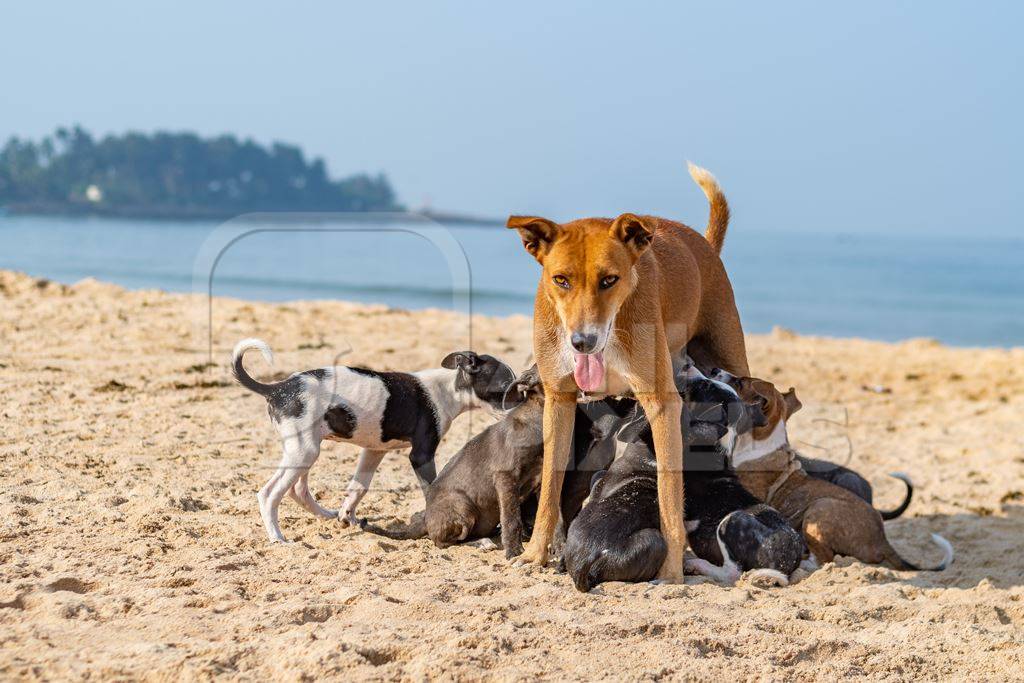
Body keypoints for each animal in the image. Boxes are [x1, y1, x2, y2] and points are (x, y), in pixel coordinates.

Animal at [233, 342, 520, 544]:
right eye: (505, 389)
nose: (521, 411)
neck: (448, 388)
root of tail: (277, 389)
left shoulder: (373, 451)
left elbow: (359, 487)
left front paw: (347, 517)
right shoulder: (421, 455)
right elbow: (431, 490)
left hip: (304, 449)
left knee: (298, 490)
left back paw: (325, 515)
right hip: (304, 451)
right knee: (269, 493)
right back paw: (277, 537)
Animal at [507, 165, 749, 581]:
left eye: (610, 279)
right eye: (560, 279)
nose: (583, 342)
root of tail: (703, 243)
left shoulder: (663, 405)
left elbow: (669, 498)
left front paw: (672, 572)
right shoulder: (559, 400)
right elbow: (550, 488)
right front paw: (536, 553)